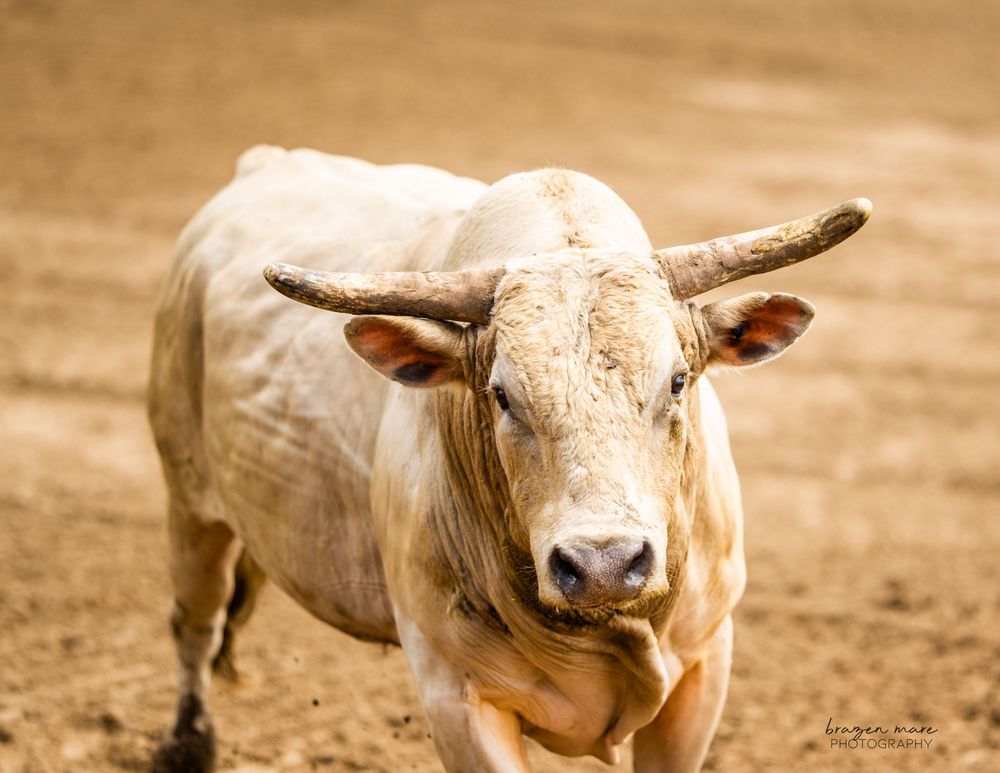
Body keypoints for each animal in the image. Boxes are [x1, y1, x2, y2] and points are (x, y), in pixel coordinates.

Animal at [147, 145, 870, 772]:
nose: (604, 564)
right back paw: (188, 745)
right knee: (195, 623)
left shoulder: (704, 666)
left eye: (677, 380)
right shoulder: (454, 694)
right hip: (189, 503)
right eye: (501, 395)